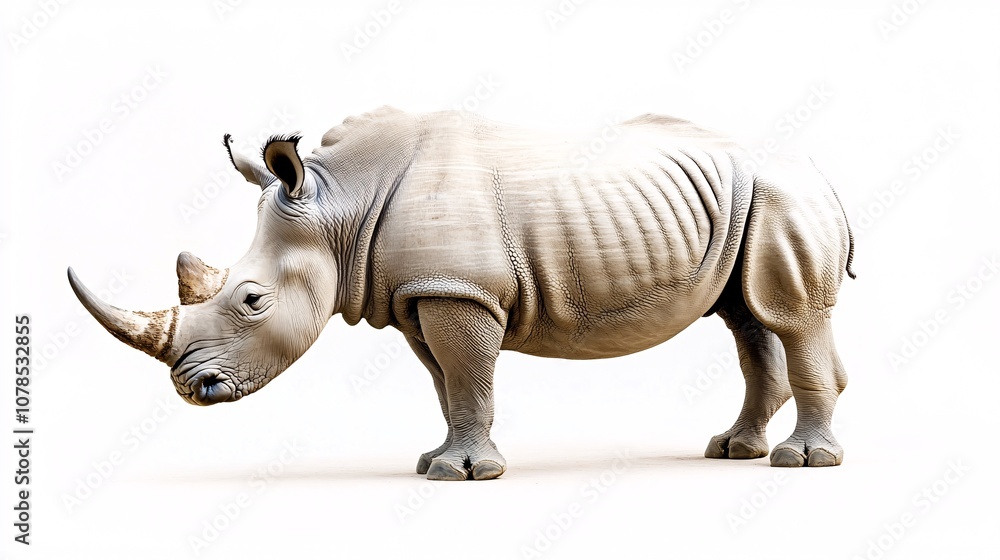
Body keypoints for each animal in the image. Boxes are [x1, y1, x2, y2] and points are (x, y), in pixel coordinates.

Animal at [68, 106, 856, 480]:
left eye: (252, 302)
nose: (190, 388)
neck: (341, 209)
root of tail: (821, 169)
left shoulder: (462, 291)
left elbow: (470, 376)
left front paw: (463, 475)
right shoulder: (421, 294)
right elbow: (446, 383)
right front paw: (435, 462)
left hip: (781, 197)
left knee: (789, 316)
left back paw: (801, 464)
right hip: (745, 205)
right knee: (746, 318)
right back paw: (732, 451)